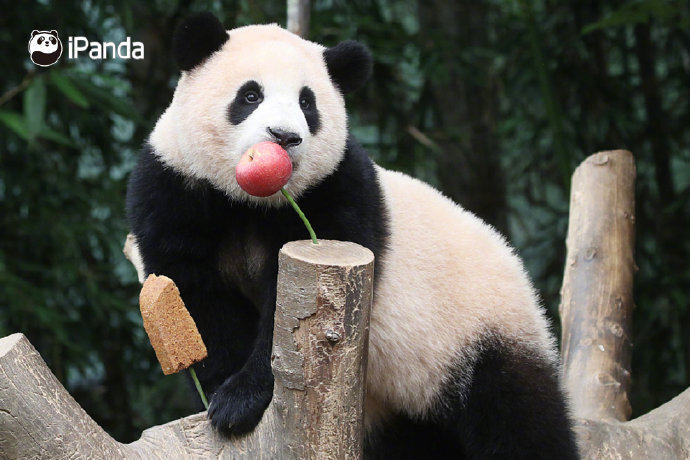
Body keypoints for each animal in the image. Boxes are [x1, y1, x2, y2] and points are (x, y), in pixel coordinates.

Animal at [126, 12, 576, 458]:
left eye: (307, 103)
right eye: (250, 95)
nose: (284, 136)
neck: (252, 203)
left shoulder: (337, 193)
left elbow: (288, 324)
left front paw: (240, 400)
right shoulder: (176, 188)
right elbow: (196, 298)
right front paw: (222, 397)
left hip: (477, 334)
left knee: (518, 416)